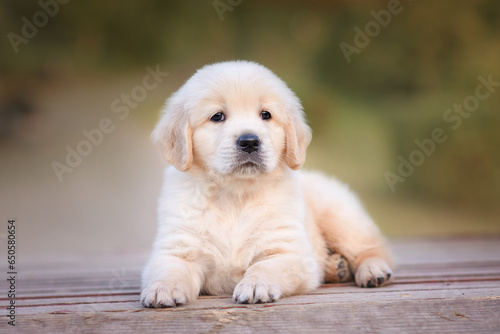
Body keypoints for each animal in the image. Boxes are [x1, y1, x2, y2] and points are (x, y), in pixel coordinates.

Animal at [140, 60, 390, 308]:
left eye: (266, 115)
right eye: (217, 116)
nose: (250, 141)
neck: (235, 195)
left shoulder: (288, 251)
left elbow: (264, 266)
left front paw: (255, 286)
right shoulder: (178, 248)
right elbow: (169, 268)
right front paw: (163, 288)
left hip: (340, 217)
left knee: (373, 247)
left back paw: (373, 270)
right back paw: (336, 267)